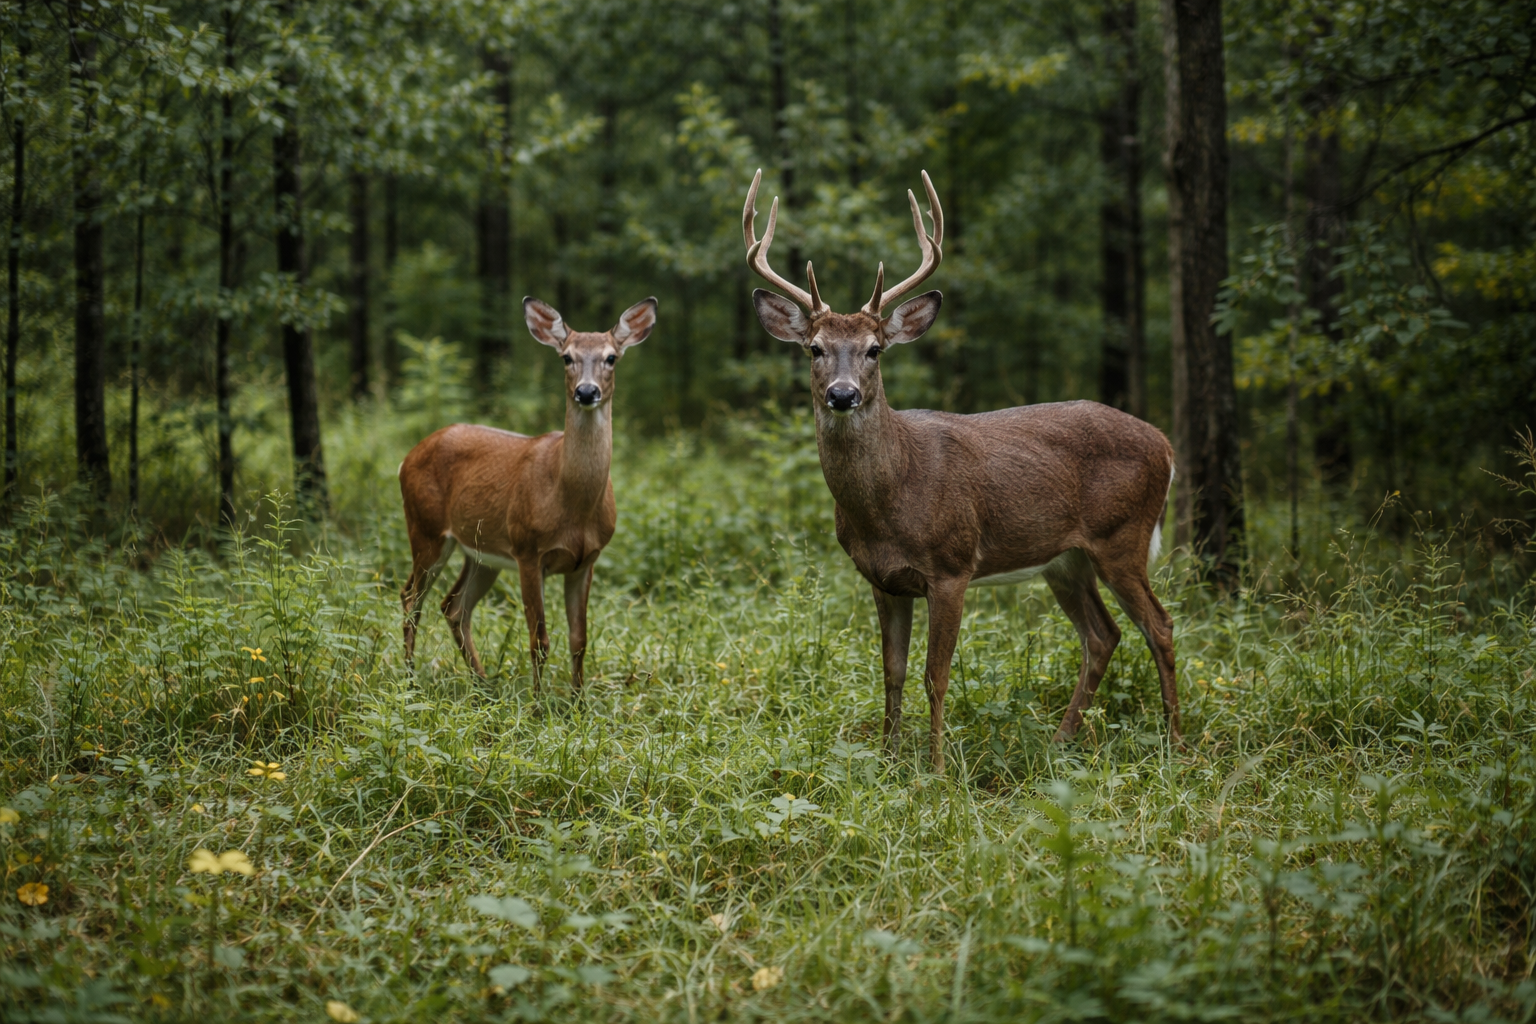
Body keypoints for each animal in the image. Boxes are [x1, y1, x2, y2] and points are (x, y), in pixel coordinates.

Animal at [398, 296, 657, 693]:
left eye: (611, 357)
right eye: (566, 357)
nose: (586, 392)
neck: (573, 505)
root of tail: (407, 458)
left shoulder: (587, 560)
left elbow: (579, 639)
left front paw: (578, 700)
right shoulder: (528, 551)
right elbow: (539, 639)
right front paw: (537, 703)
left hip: (481, 552)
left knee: (453, 605)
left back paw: (483, 684)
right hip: (426, 530)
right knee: (411, 597)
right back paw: (411, 681)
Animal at [741, 169, 1181, 771]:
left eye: (875, 349)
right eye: (814, 348)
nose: (842, 394)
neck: (890, 498)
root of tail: (1166, 445)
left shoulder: (952, 565)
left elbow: (936, 676)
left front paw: (936, 770)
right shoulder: (882, 578)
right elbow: (892, 671)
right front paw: (888, 759)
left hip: (1123, 537)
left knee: (1159, 626)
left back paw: (1177, 745)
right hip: (1065, 558)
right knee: (1103, 634)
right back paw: (1060, 744)